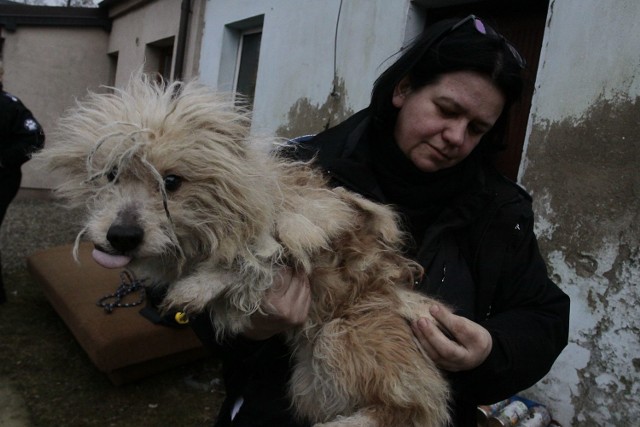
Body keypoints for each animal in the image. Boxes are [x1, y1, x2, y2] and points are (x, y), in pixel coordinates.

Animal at [40, 74, 450, 427]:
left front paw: (196, 287)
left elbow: (249, 260)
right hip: (309, 378)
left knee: (409, 408)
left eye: (171, 181)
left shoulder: (305, 229)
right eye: (111, 175)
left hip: (343, 335)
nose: (122, 235)